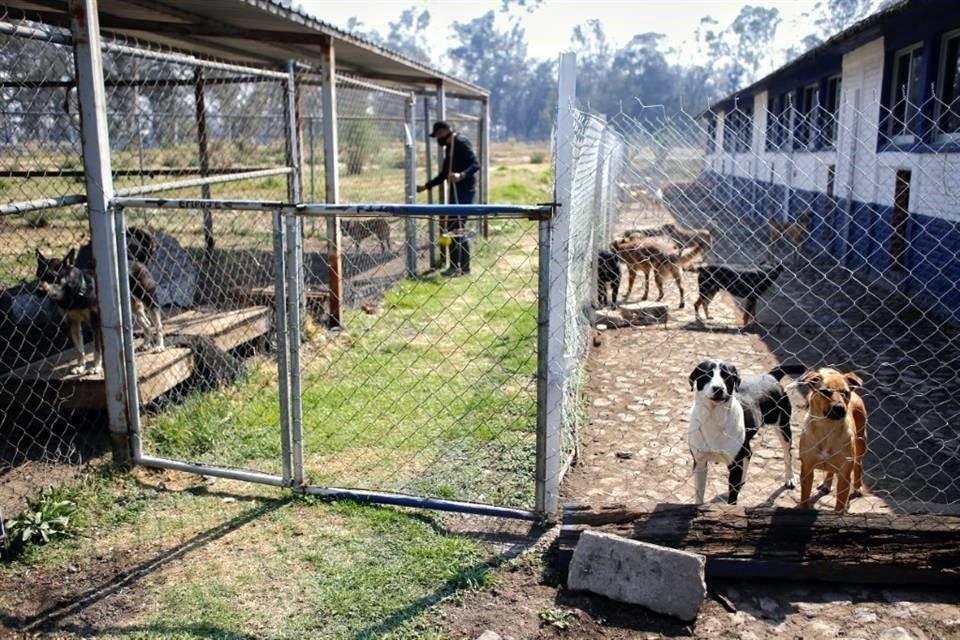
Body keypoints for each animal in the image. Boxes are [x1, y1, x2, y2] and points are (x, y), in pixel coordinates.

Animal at [688, 360, 808, 504]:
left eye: (727, 376)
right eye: (707, 375)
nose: (718, 388)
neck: (714, 417)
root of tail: (771, 376)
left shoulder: (735, 466)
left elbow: (732, 499)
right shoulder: (699, 462)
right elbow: (699, 494)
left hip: (783, 427)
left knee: (787, 454)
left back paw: (789, 478)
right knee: (749, 453)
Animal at [800, 368, 868, 512]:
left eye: (845, 393)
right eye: (825, 392)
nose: (839, 408)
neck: (827, 427)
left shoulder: (844, 474)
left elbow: (840, 504)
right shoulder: (807, 469)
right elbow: (805, 497)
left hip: (861, 441)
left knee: (858, 465)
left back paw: (857, 487)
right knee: (830, 470)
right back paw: (826, 484)